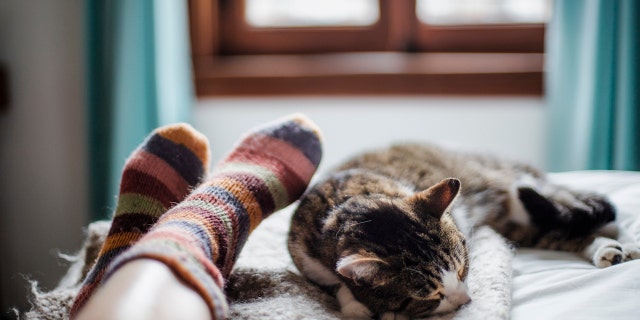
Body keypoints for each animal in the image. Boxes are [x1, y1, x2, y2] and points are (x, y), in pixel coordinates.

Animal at [290, 144, 640, 318]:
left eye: (462, 270)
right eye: (431, 295)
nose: (466, 301)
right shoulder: (305, 258)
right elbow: (336, 283)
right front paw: (355, 306)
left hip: (518, 189)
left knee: (591, 210)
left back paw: (626, 243)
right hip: (514, 222)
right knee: (557, 231)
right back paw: (605, 249)